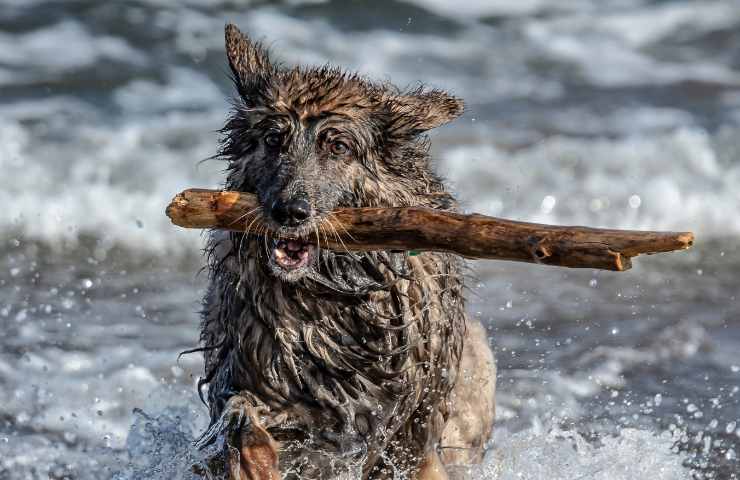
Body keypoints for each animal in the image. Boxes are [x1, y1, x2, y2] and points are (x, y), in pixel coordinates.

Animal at [197, 23, 498, 480]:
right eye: (274, 139)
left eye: (337, 147)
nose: (290, 212)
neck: (329, 297)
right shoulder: (252, 364)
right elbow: (241, 413)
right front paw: (253, 457)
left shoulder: (409, 424)